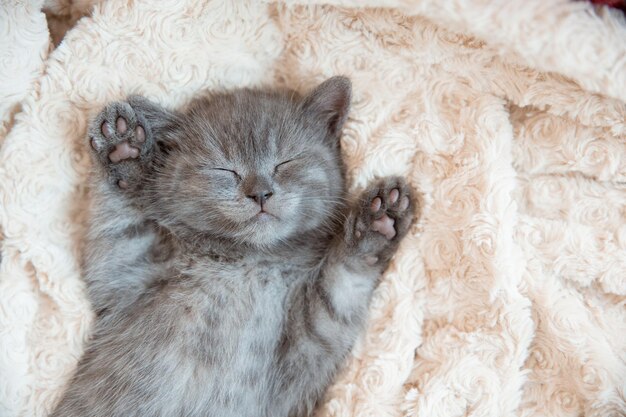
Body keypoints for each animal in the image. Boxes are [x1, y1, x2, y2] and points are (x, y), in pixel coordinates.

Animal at [51, 76, 416, 416]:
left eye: (285, 163)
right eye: (225, 170)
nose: (260, 193)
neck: (248, 261)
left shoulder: (302, 357)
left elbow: (340, 287)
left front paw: (378, 223)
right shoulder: (126, 277)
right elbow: (123, 221)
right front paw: (124, 153)